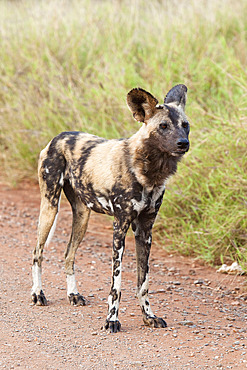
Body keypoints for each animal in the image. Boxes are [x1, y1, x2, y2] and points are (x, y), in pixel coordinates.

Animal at [30, 84, 189, 332]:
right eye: (163, 126)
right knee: (38, 253)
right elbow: (117, 285)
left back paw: (73, 294)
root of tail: (59, 136)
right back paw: (38, 294)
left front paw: (149, 316)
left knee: (68, 255)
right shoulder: (120, 227)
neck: (149, 172)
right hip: (49, 206)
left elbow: (143, 283)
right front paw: (112, 319)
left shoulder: (145, 231)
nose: (183, 143)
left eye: (185, 125)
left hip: (82, 216)